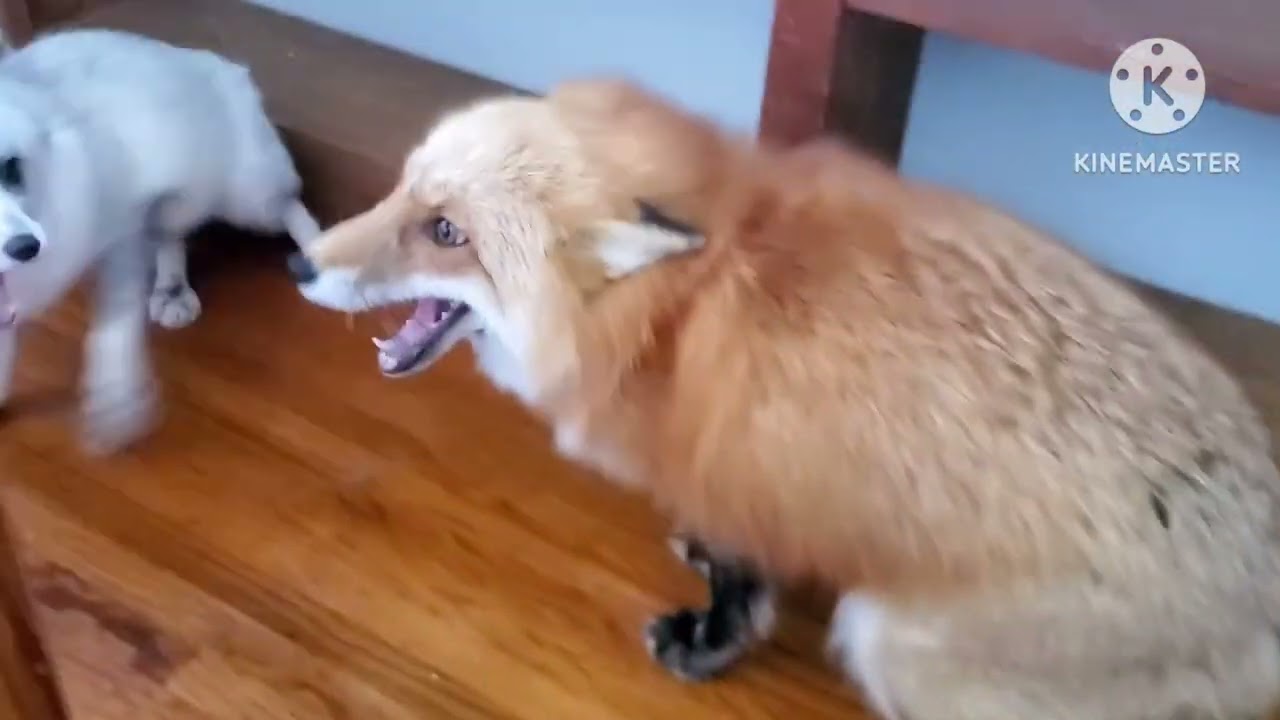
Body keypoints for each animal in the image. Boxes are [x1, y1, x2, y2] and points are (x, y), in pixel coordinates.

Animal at [287, 78, 1280, 720]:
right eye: (401, 193)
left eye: (446, 232)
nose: (299, 263)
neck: (672, 316)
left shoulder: (736, 468)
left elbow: (739, 584)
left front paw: (705, 646)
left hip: (886, 636)